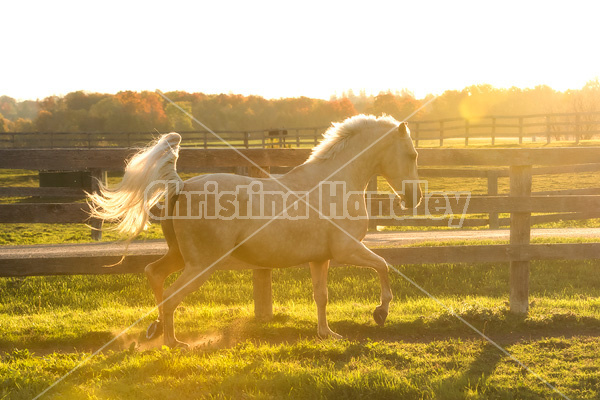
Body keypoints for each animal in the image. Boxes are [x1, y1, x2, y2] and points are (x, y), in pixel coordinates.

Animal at [89, 115, 420, 346]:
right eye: (413, 155)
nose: (413, 198)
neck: (335, 182)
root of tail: (181, 188)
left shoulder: (320, 258)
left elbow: (321, 296)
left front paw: (327, 334)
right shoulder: (347, 250)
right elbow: (384, 265)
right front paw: (380, 313)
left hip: (181, 256)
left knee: (154, 273)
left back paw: (155, 330)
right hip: (201, 264)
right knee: (170, 295)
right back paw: (173, 343)